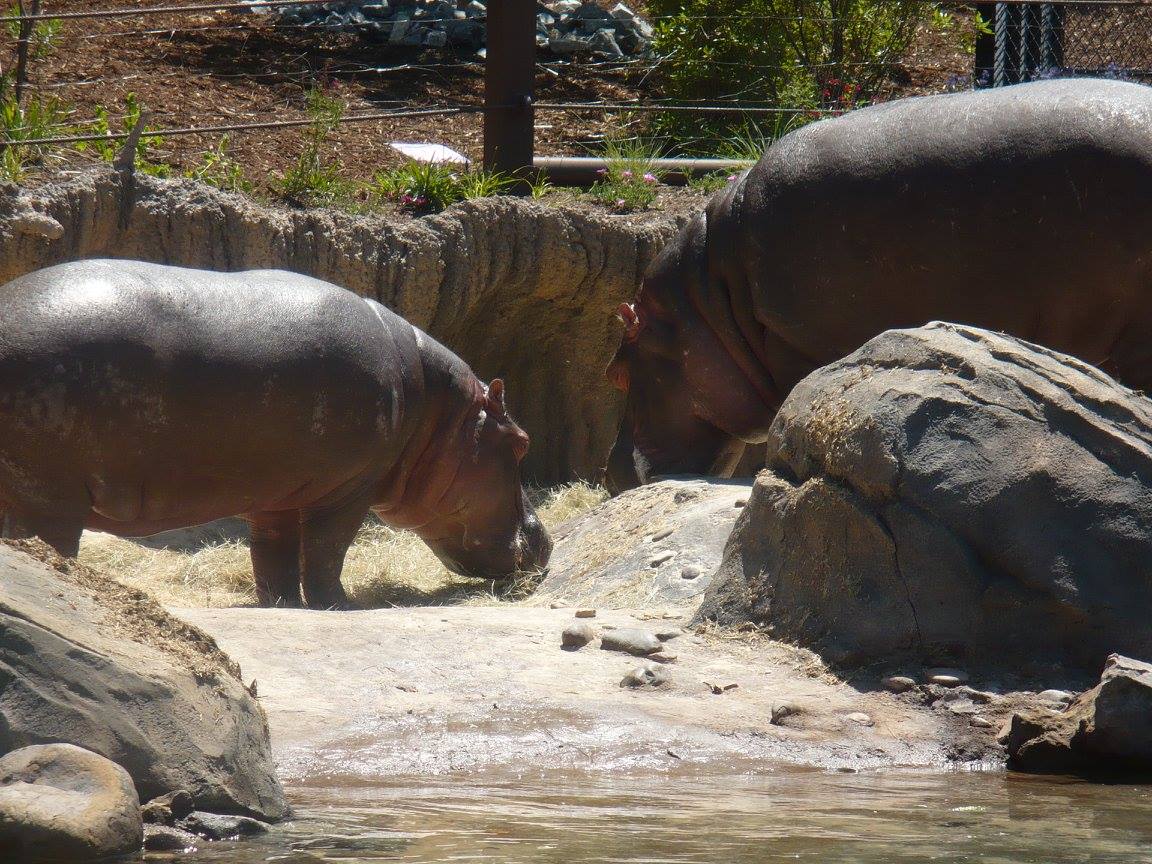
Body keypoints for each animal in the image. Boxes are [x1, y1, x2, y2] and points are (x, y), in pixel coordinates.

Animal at [0, 259, 551, 607]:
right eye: (522, 442)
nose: (545, 540)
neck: (437, 414)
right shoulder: (350, 488)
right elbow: (328, 548)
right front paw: (339, 605)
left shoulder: (276, 496)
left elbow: (273, 552)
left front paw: (280, 603)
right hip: (48, 500)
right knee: (49, 544)